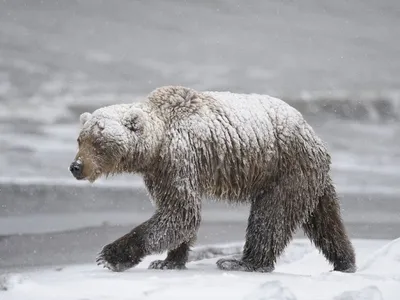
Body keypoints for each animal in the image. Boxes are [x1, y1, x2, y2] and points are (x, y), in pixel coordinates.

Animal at [69, 85, 356, 274]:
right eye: (80, 139)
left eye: (98, 142)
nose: (76, 167)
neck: (156, 144)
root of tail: (312, 133)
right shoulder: (159, 171)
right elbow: (177, 213)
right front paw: (168, 261)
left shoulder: (178, 158)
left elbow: (180, 212)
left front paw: (110, 255)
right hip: (309, 176)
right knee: (325, 219)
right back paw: (346, 261)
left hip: (284, 168)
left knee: (271, 217)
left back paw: (242, 262)